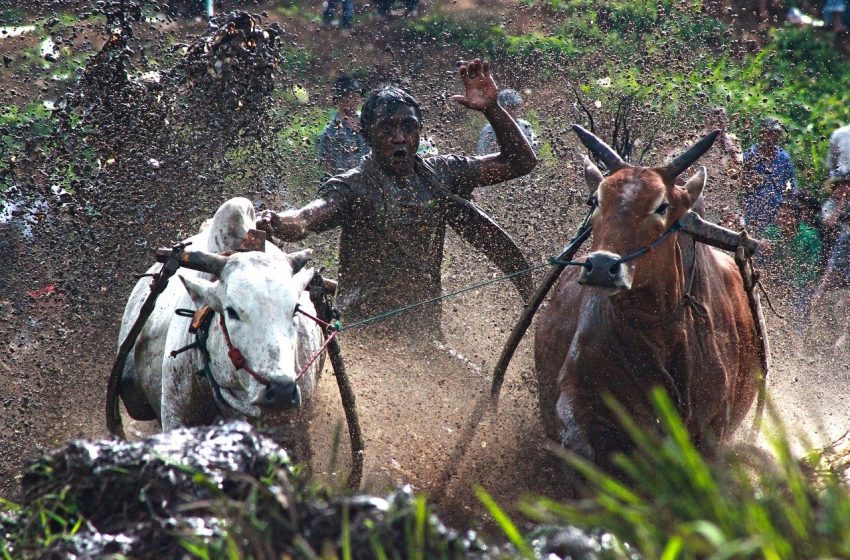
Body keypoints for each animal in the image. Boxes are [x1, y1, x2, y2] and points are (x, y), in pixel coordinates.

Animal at [532, 126, 760, 468]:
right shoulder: (575, 392)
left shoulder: (713, 431)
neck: (659, 333)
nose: (602, 267)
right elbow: (580, 450)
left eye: (662, 206)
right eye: (595, 200)